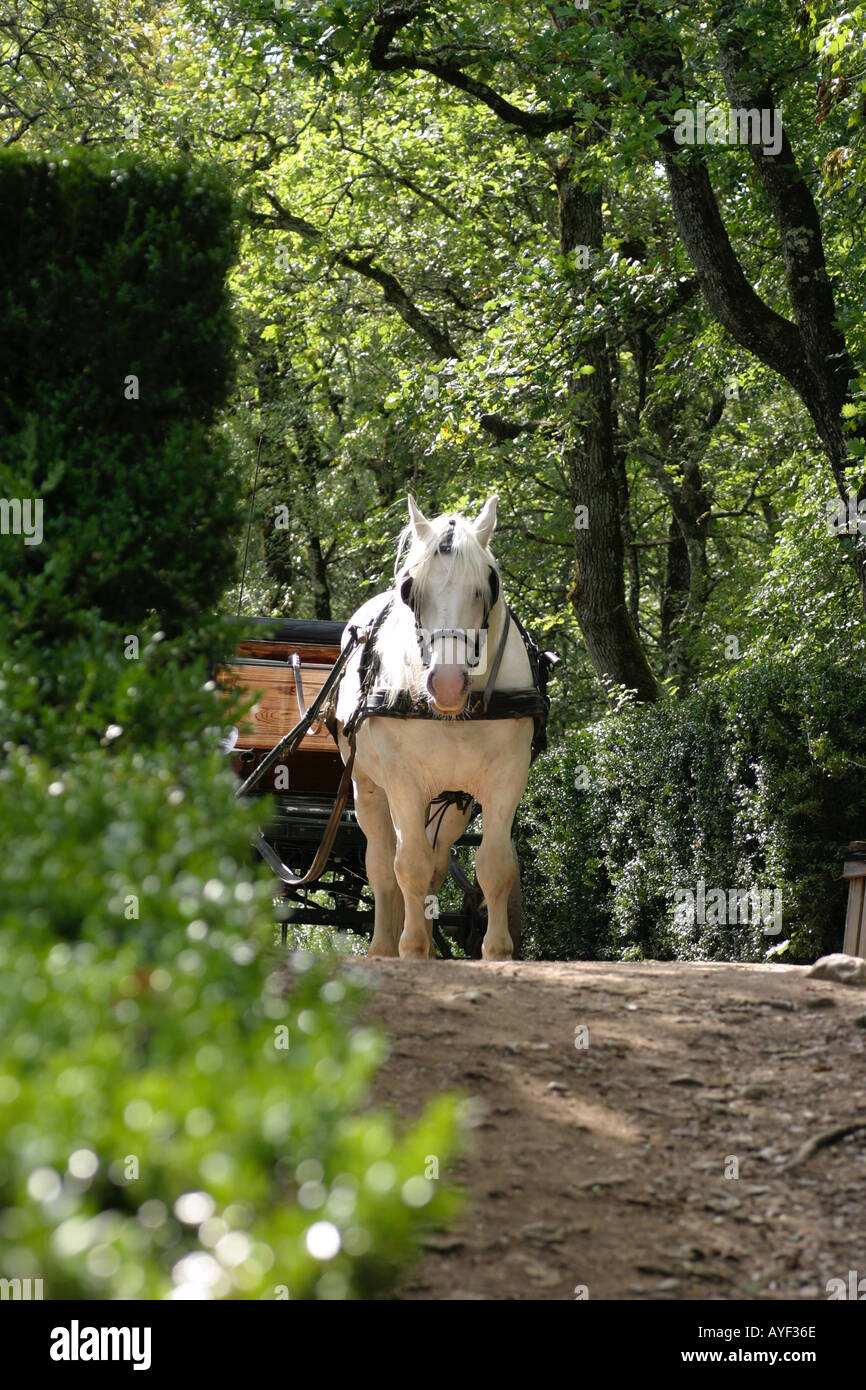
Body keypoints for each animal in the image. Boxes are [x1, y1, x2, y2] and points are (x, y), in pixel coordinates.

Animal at [334, 495, 537, 961]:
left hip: (449, 804)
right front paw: (410, 949)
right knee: (382, 866)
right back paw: (385, 946)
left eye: (487, 584)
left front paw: (497, 951)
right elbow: (406, 867)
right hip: (368, 786)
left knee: (436, 863)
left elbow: (494, 867)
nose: (446, 683)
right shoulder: (403, 782)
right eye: (410, 589)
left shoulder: (506, 777)